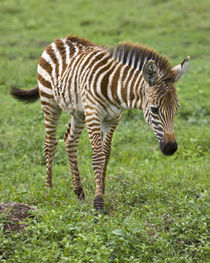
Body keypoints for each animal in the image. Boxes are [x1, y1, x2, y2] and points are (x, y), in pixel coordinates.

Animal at [10, 35, 189, 212]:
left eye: (176, 109)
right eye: (154, 109)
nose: (171, 148)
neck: (115, 87)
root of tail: (60, 39)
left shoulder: (113, 118)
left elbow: (106, 153)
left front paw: (101, 188)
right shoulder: (93, 114)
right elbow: (97, 156)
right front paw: (98, 202)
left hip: (79, 112)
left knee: (69, 140)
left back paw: (79, 191)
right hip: (49, 101)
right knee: (50, 143)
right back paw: (49, 189)